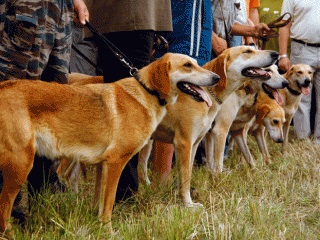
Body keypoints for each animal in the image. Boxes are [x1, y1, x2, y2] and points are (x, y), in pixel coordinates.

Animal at [0, 52, 220, 234]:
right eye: (187, 65)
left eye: (196, 63)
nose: (216, 78)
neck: (147, 92)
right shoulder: (115, 162)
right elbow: (109, 203)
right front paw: (108, 230)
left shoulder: (101, 165)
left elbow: (99, 201)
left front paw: (97, 224)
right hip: (21, 165)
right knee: (4, 211)